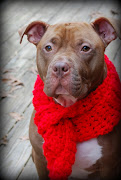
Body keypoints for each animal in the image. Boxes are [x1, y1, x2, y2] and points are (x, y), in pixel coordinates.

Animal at [18, 16, 121, 179]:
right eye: (48, 48)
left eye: (85, 48)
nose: (60, 67)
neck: (68, 107)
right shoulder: (41, 160)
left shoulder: (109, 166)